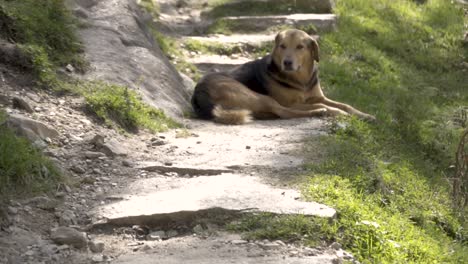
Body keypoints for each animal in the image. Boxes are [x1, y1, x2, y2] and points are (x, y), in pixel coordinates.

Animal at [190, 29, 376, 124]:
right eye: (282, 46)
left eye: (300, 47)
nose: (287, 62)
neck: (301, 80)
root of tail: (199, 94)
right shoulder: (293, 102)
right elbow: (330, 107)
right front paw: (339, 113)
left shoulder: (318, 97)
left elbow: (346, 105)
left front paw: (365, 115)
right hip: (255, 95)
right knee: (285, 112)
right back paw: (318, 112)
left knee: (281, 113)